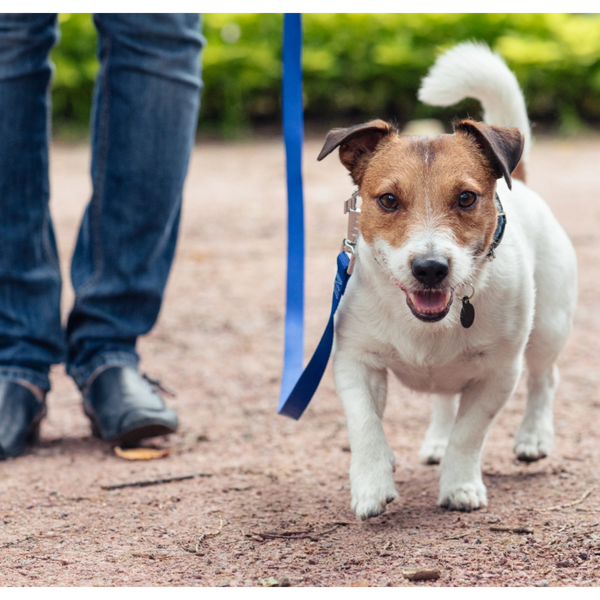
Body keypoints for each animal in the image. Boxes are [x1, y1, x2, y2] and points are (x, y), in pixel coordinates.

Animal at [318, 42, 576, 520]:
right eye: (387, 200)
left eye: (466, 198)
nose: (430, 268)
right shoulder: (355, 361)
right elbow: (365, 426)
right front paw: (372, 483)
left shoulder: (498, 373)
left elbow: (469, 433)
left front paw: (460, 485)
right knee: (444, 400)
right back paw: (436, 440)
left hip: (549, 327)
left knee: (544, 379)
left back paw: (533, 437)